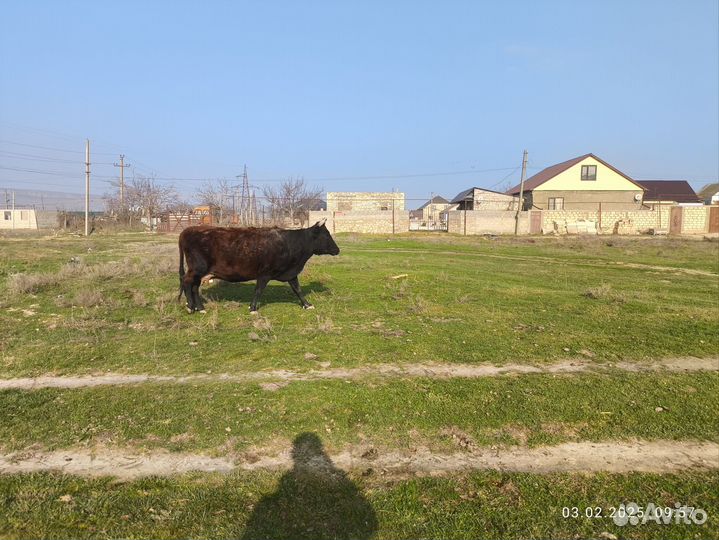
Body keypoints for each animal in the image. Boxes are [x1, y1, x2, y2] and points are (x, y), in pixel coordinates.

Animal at [178, 220, 340, 314]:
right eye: (326, 235)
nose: (337, 250)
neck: (290, 243)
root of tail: (187, 230)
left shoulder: (291, 273)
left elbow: (297, 289)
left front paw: (307, 304)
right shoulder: (264, 273)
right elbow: (258, 290)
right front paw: (253, 308)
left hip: (199, 272)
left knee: (194, 287)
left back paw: (200, 308)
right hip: (197, 269)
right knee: (187, 282)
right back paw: (191, 307)